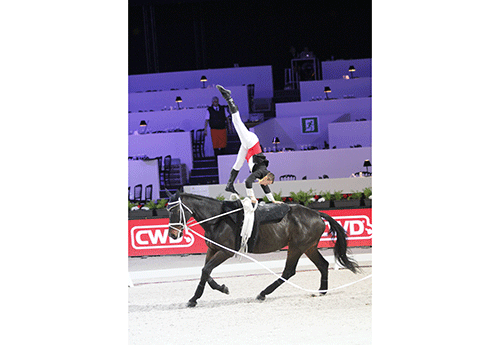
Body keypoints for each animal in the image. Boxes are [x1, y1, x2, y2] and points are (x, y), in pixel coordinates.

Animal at [166, 191, 358, 306]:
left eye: (174, 211)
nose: (173, 235)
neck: (219, 219)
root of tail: (316, 213)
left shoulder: (225, 252)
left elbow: (206, 270)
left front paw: (195, 299)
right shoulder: (213, 250)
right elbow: (206, 273)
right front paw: (218, 289)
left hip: (297, 247)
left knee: (289, 271)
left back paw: (263, 293)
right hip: (308, 247)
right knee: (323, 265)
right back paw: (322, 291)